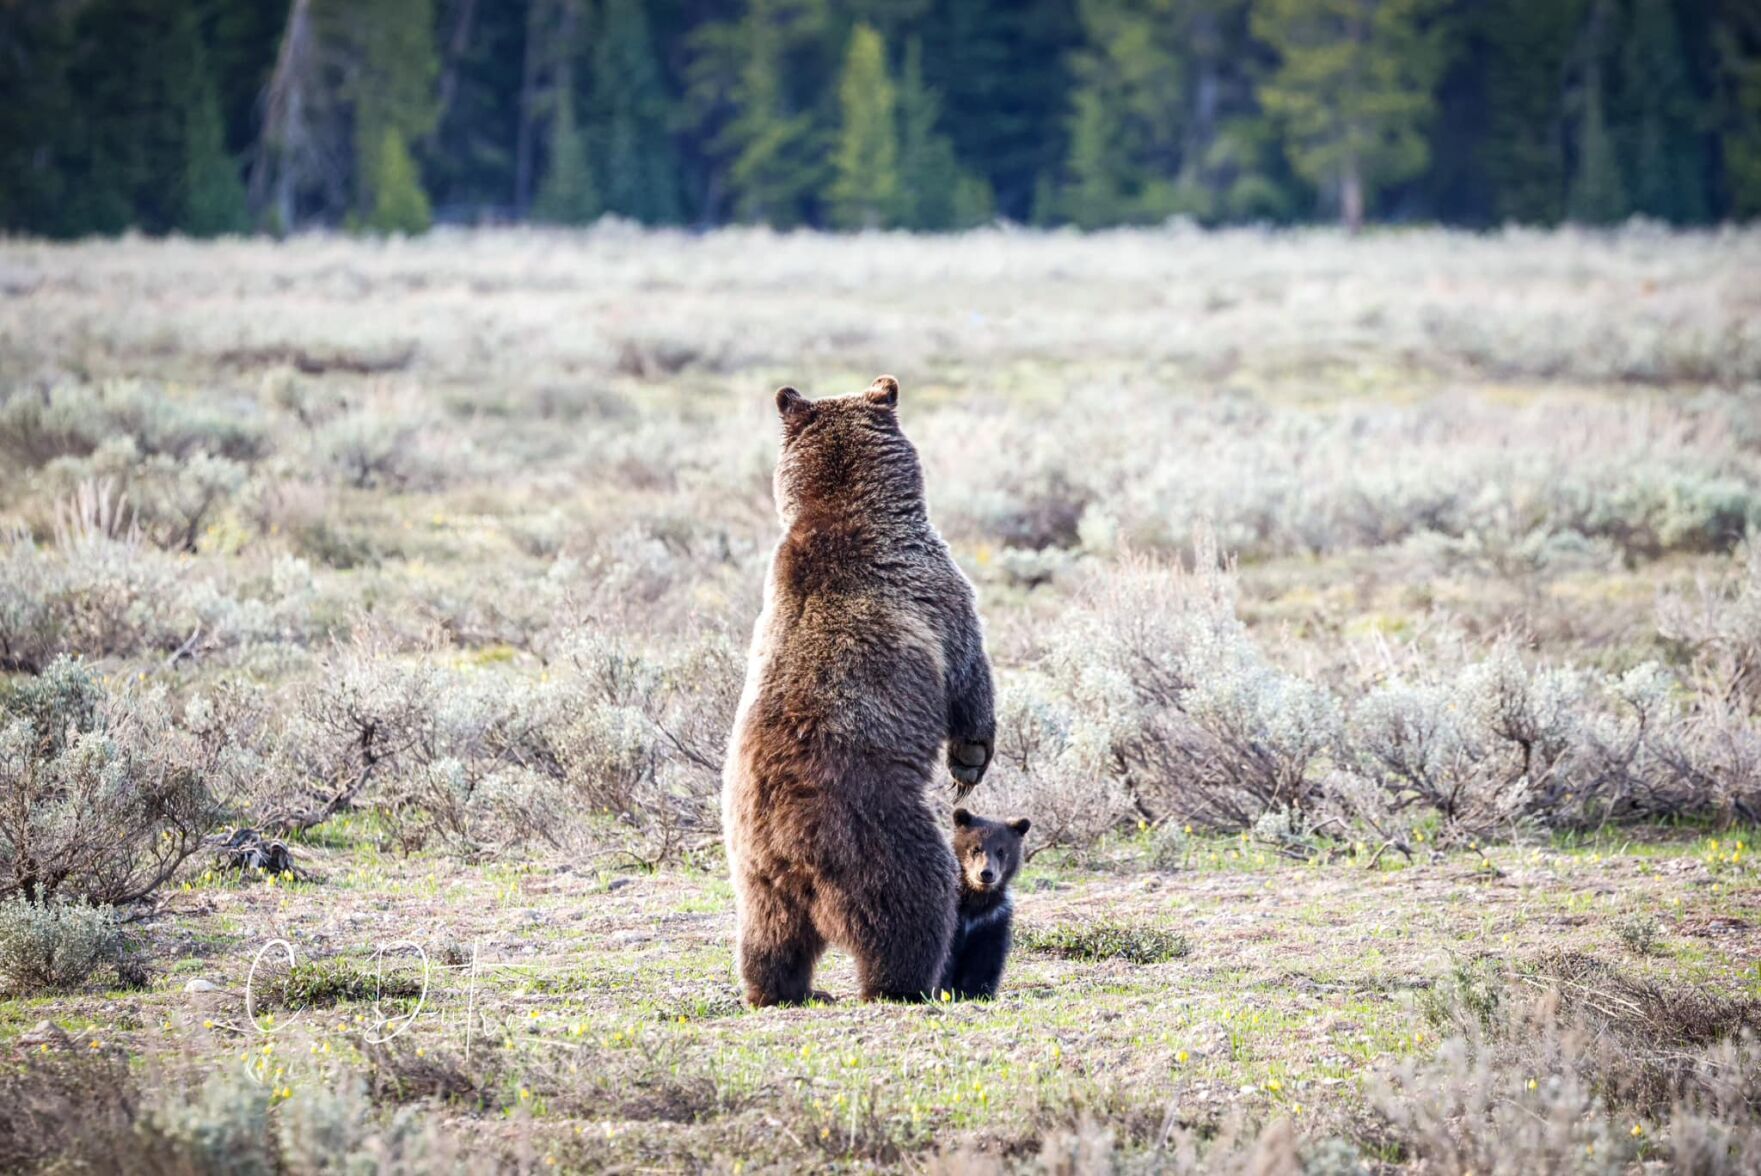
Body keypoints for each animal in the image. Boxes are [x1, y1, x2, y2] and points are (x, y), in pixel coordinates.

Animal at [714, 374, 993, 999]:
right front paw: (970, 760)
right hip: (878, 834)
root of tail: (789, 847)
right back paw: (907, 982)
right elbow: (969, 675)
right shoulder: (936, 592)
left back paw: (781, 990)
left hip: (753, 872)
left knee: (768, 937)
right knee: (913, 905)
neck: (843, 508)